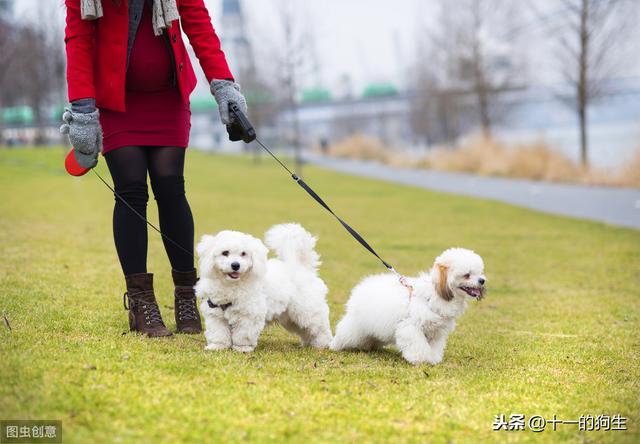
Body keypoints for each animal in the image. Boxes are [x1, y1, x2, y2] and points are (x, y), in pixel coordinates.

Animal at [195, 224, 332, 352]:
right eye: (225, 253)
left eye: (243, 254)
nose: (235, 265)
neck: (232, 285)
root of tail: (300, 267)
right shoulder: (215, 314)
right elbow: (219, 333)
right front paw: (217, 346)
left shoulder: (248, 315)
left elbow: (243, 334)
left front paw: (242, 348)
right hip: (290, 317)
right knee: (305, 331)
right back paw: (309, 344)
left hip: (307, 311)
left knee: (319, 329)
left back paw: (322, 345)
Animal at [330, 248, 484, 366]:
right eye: (467, 275)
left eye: (479, 273)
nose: (482, 280)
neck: (434, 295)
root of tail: (363, 286)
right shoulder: (411, 327)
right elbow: (418, 345)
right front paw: (421, 359)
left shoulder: (436, 332)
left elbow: (434, 348)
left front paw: (433, 359)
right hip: (355, 327)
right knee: (345, 334)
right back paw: (334, 345)